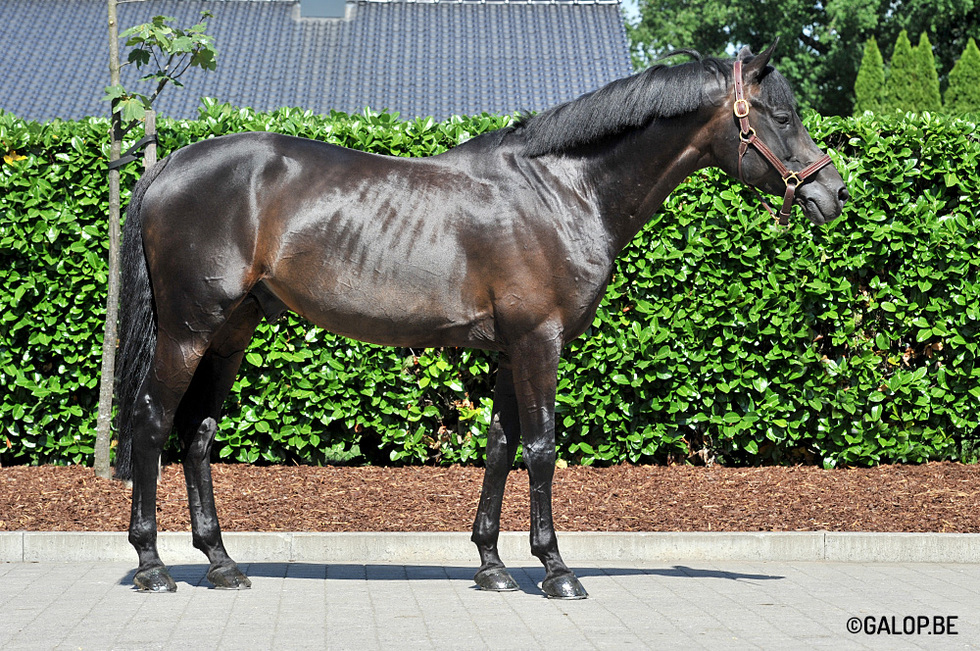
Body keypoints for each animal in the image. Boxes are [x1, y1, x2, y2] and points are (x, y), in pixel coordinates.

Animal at [113, 41, 848, 597]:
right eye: (781, 115)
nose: (833, 192)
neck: (561, 190)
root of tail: (170, 164)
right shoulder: (539, 342)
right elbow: (542, 449)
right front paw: (556, 570)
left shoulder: (507, 351)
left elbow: (499, 447)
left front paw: (492, 565)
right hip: (189, 330)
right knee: (152, 422)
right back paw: (151, 565)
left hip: (232, 331)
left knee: (198, 433)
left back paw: (221, 562)